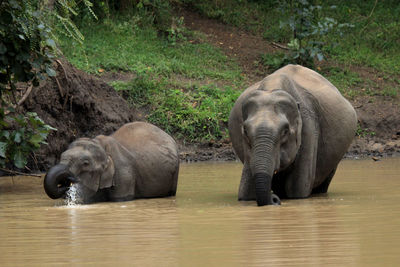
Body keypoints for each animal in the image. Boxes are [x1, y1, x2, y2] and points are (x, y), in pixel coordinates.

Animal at [228, 64, 356, 207]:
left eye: (285, 131)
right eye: (245, 131)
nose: (274, 198)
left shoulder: (309, 126)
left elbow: (297, 190)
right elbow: (245, 193)